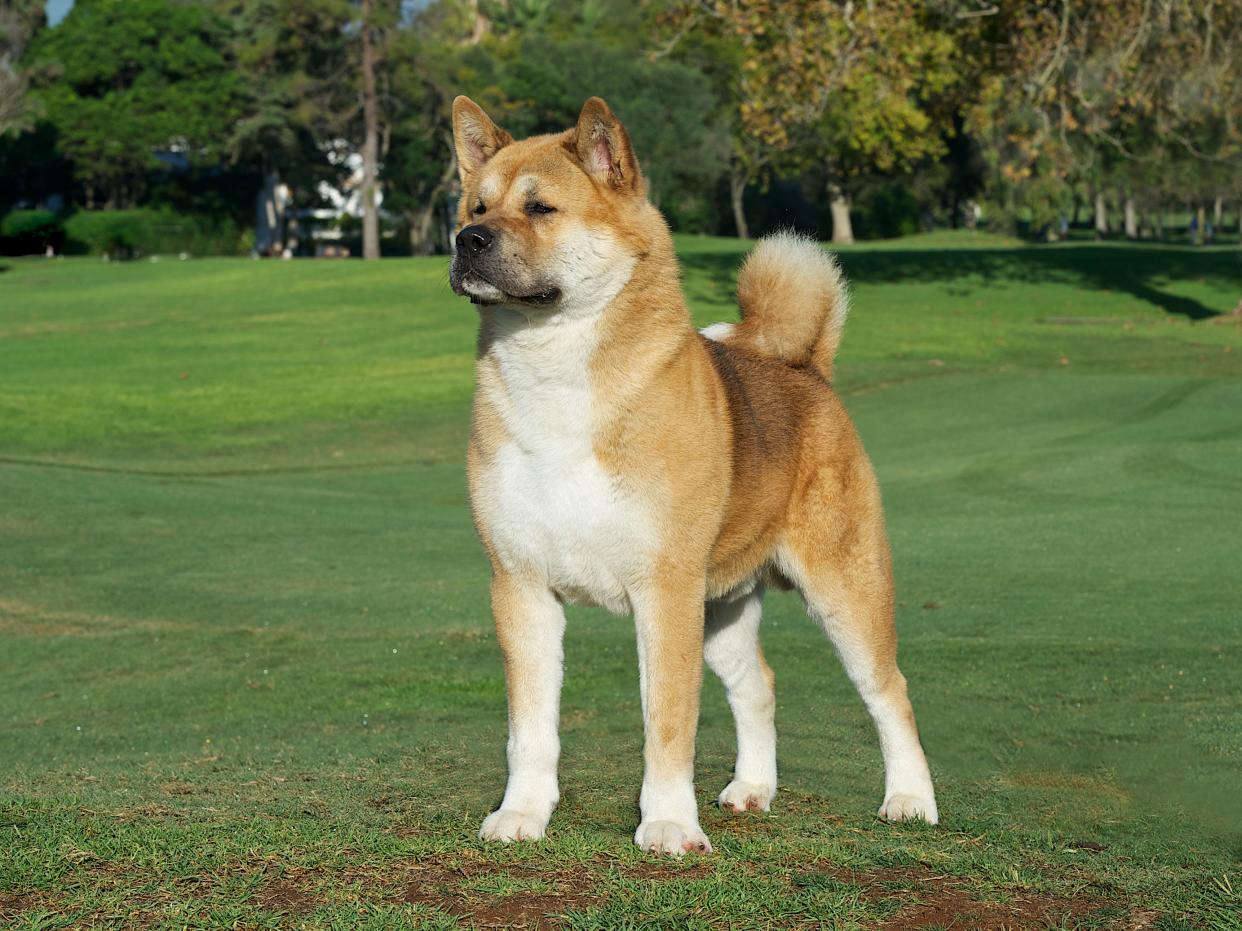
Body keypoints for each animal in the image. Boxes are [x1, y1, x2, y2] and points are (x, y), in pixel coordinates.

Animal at [452, 96, 933, 859]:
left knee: (890, 691)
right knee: (759, 685)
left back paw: (911, 799)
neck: (554, 376)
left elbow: (668, 722)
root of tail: (806, 369)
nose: (466, 240)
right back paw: (753, 787)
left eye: (541, 207)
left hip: (845, 591)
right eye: (476, 204)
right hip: (723, 610)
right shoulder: (521, 587)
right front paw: (522, 813)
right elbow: (530, 728)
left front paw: (669, 823)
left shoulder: (664, 590)